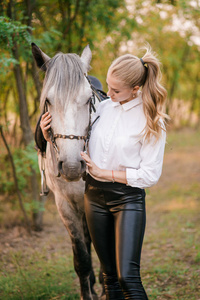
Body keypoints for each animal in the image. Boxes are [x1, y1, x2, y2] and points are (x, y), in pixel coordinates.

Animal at [31, 42, 104, 300]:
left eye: (88, 99)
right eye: (48, 100)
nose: (72, 166)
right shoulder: (65, 205)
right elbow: (81, 257)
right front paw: (88, 290)